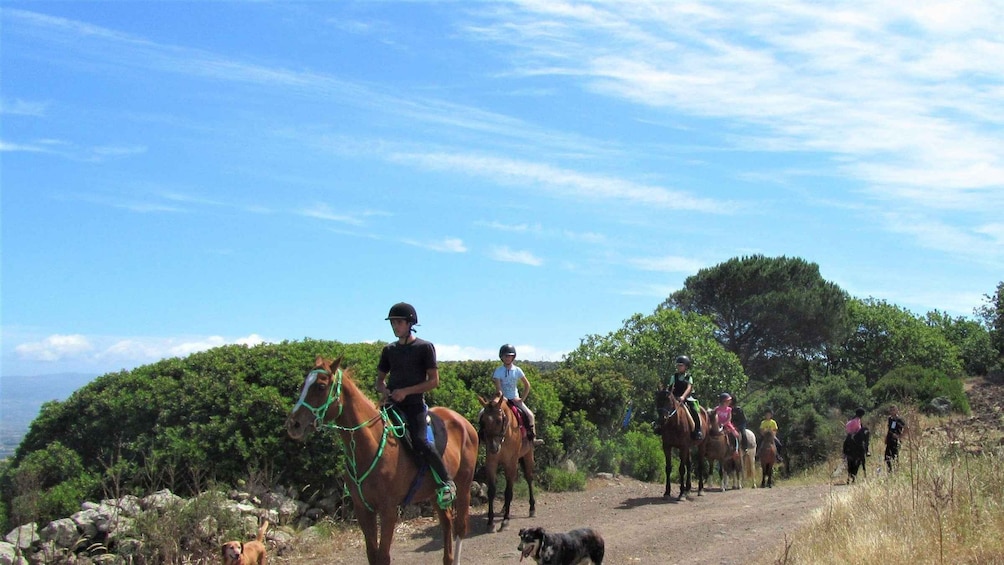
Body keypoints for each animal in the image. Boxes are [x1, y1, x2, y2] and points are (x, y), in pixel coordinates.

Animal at [285, 357, 479, 565]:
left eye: (321, 386)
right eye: (303, 385)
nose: (293, 424)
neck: (370, 445)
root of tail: (463, 422)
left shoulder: (388, 511)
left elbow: (383, 556)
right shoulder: (363, 509)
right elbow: (372, 554)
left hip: (464, 485)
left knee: (460, 527)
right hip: (434, 492)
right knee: (447, 522)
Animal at [475, 393, 534, 533]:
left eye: (499, 420)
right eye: (483, 422)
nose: (493, 447)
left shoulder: (510, 464)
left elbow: (508, 492)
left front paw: (505, 521)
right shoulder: (492, 463)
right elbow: (491, 491)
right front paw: (490, 522)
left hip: (528, 455)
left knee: (529, 478)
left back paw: (532, 508)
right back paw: (503, 508)